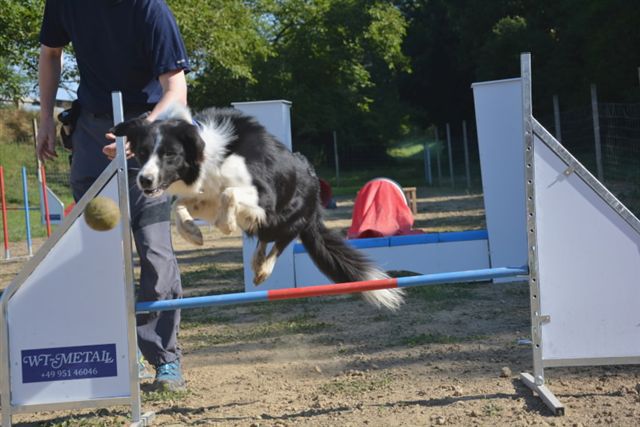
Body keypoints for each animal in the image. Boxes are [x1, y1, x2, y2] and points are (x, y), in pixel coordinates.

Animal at [111, 104, 405, 310]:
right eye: (142, 152)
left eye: (170, 154)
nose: (144, 180)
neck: (210, 153)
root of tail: (313, 180)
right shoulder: (206, 196)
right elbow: (179, 206)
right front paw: (193, 233)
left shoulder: (263, 197)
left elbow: (229, 194)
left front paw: (226, 224)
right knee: (265, 239)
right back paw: (256, 260)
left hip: (289, 217)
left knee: (282, 240)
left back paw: (263, 268)